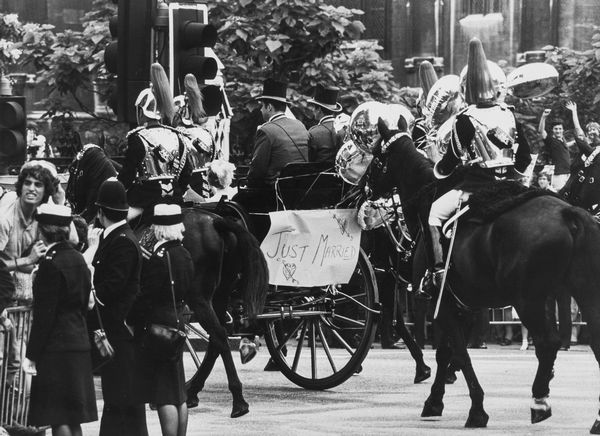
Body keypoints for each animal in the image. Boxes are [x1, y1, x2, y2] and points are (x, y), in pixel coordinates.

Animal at [65, 145, 268, 418]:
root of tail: (216, 220)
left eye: (73, 170)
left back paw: (236, 399)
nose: (70, 203)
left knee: (218, 337)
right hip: (218, 295)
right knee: (219, 338)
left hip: (199, 297)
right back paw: (193, 391)